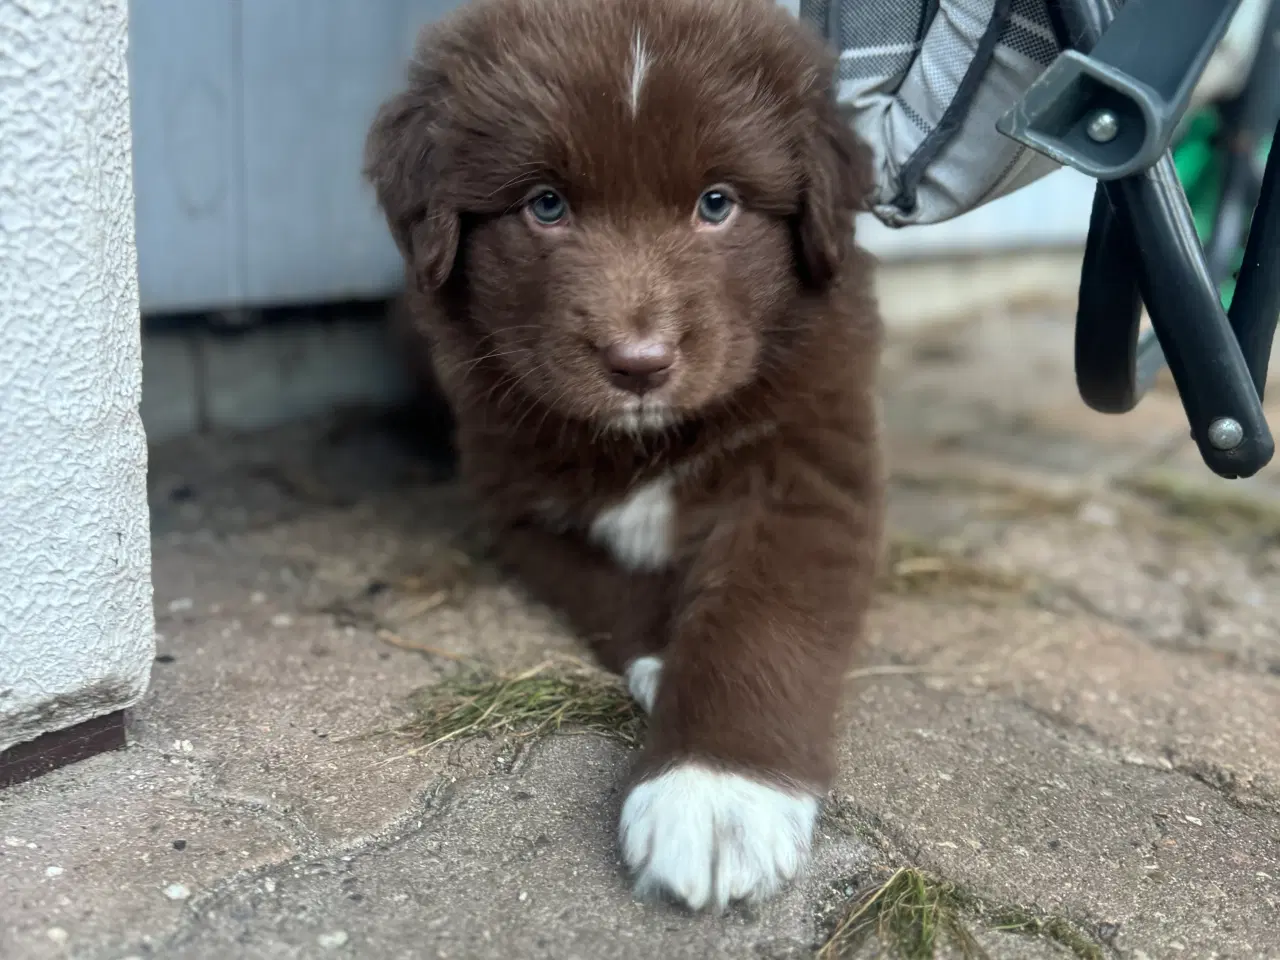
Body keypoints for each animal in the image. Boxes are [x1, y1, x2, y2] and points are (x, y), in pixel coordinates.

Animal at [371, 0, 885, 911]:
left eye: (717, 203)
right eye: (546, 205)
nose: (638, 363)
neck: (650, 436)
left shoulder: (807, 470)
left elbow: (755, 616)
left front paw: (716, 791)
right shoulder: (519, 506)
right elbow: (614, 584)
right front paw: (665, 659)